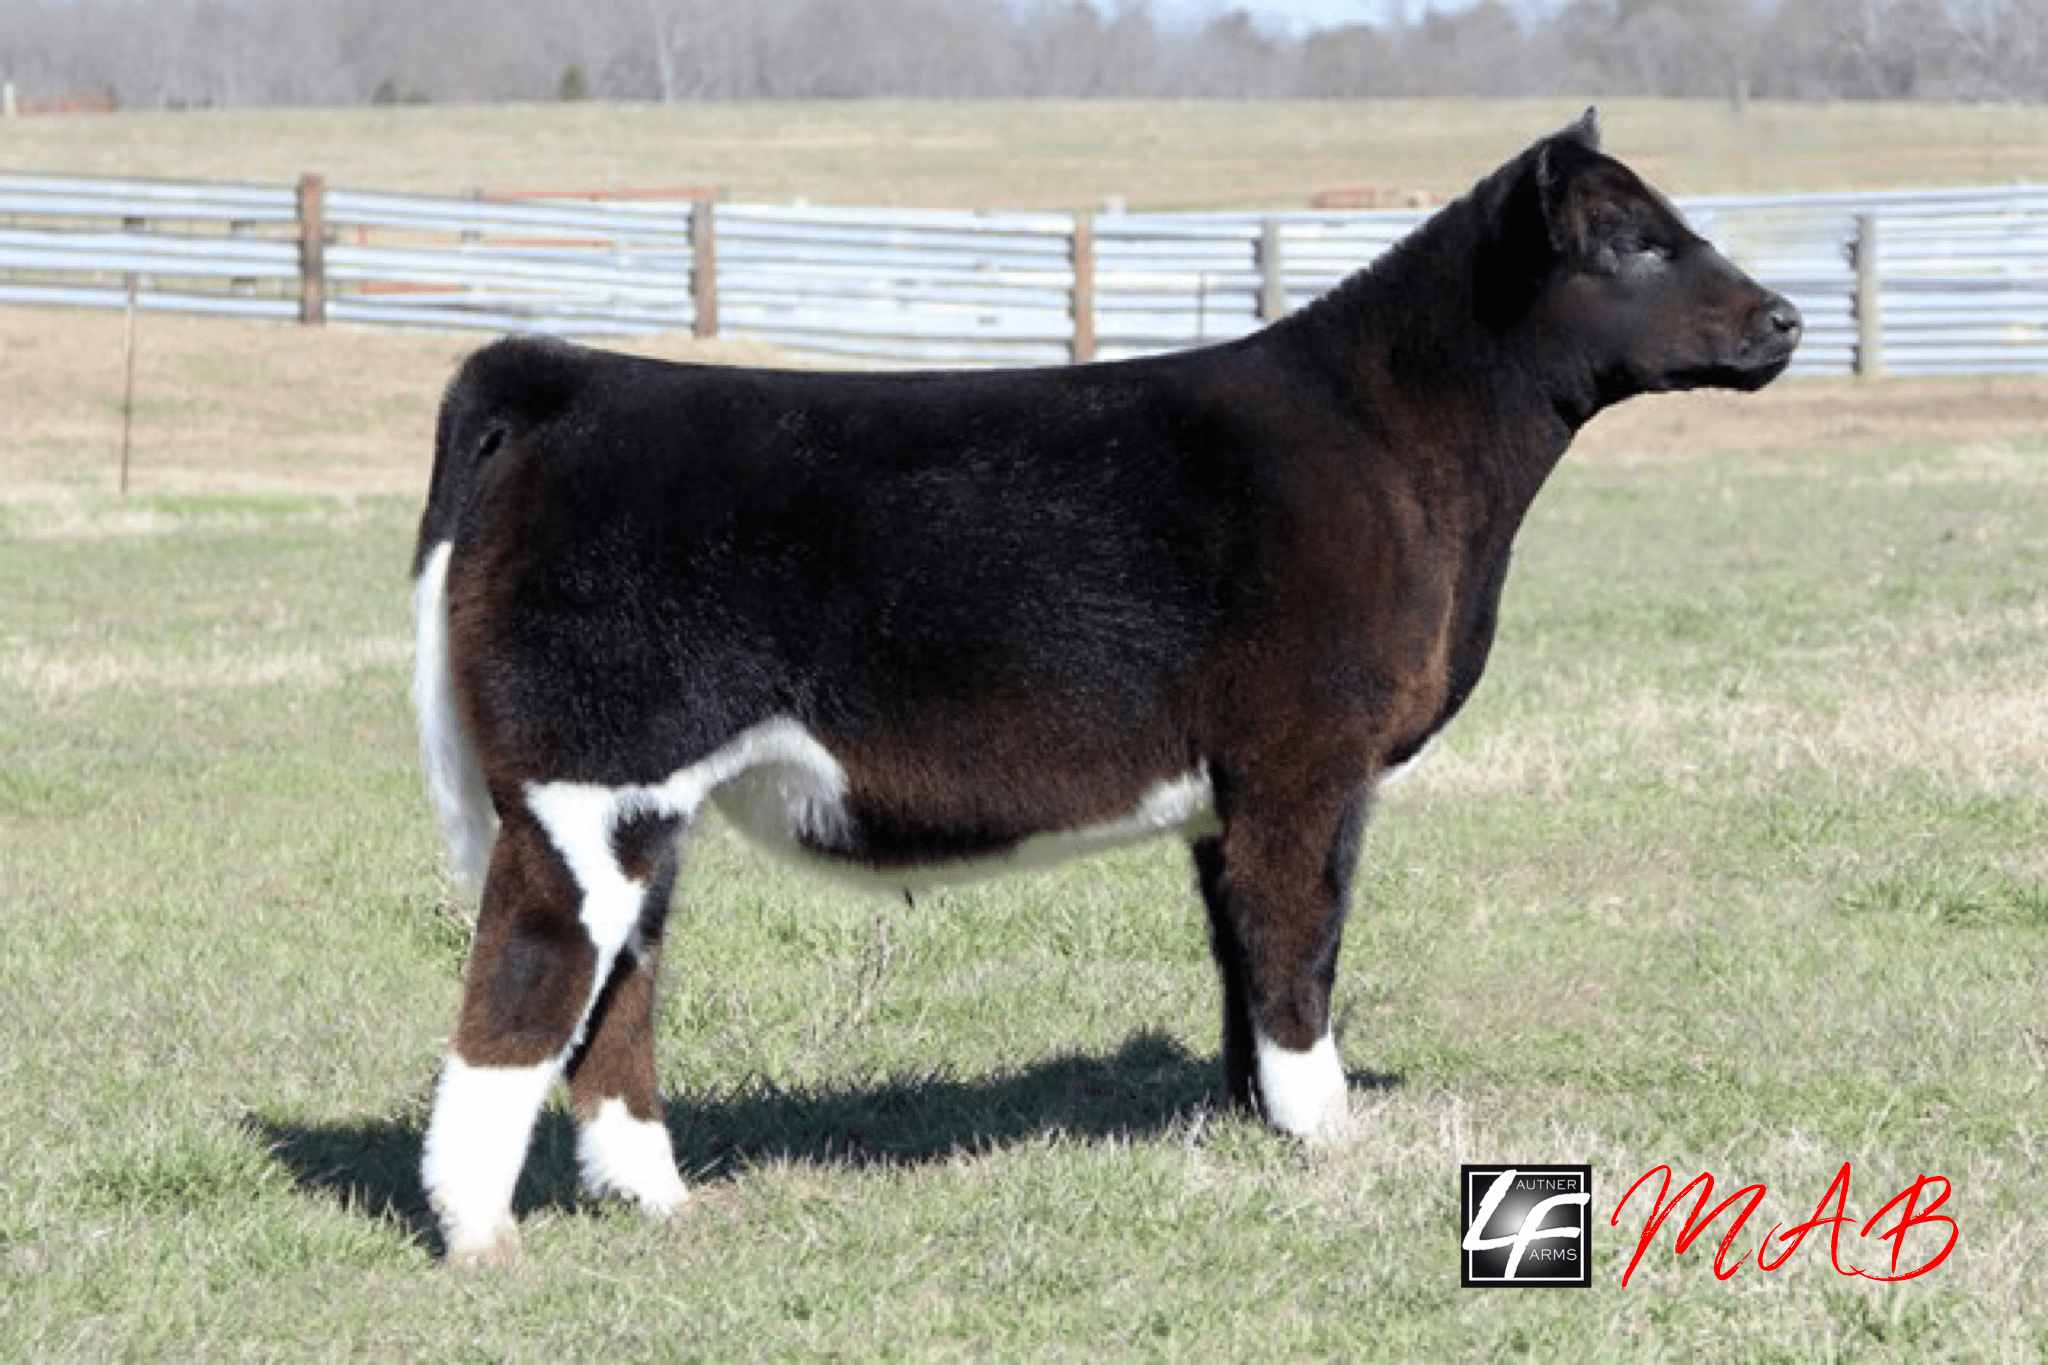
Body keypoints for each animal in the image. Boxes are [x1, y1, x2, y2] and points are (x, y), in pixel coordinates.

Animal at [409, 110, 1800, 1265]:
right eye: (1636, 242)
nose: (1785, 318)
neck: (1403, 454)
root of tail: (569, 377)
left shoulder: (1231, 793)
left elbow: (1243, 957)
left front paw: (1256, 1121)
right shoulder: (1305, 760)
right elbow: (1300, 947)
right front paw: (1327, 1133)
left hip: (642, 813)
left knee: (616, 999)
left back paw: (656, 1198)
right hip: (585, 784)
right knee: (523, 986)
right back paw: (480, 1235)